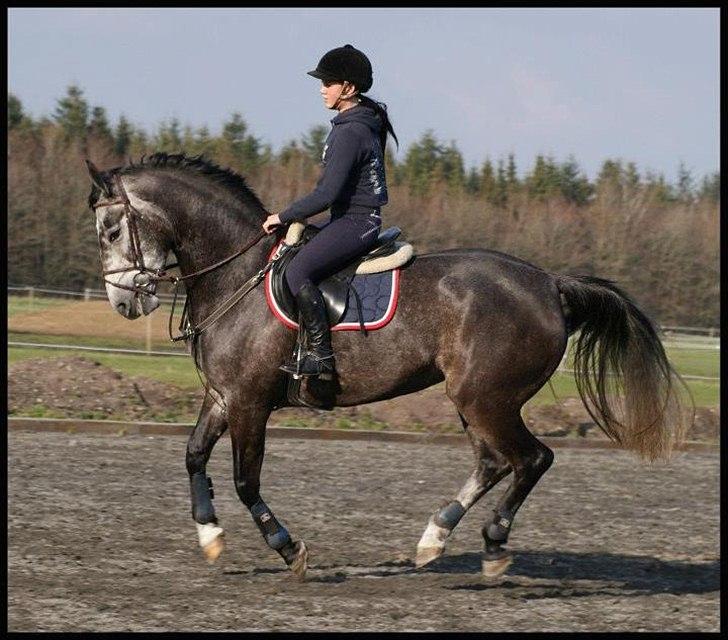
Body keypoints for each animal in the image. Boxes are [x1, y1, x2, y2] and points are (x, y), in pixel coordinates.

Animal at [85, 154, 688, 580]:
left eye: (111, 231)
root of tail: (549, 284)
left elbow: (244, 479)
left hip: (485, 397)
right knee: (495, 462)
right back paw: (434, 539)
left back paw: (493, 544)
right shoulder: (224, 396)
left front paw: (289, 550)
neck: (238, 274)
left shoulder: (250, 402)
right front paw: (209, 537)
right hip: (476, 399)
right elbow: (192, 456)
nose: (123, 303)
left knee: (532, 459)